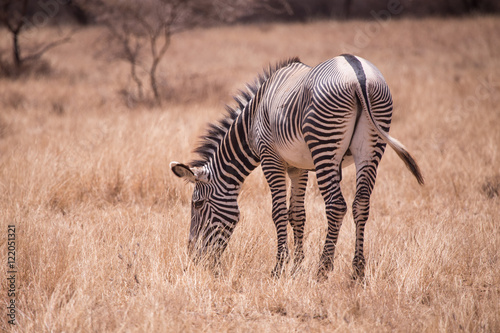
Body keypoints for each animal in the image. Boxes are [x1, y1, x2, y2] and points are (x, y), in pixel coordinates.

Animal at [170, 55, 424, 280]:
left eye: (198, 204)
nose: (194, 259)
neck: (252, 120)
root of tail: (357, 72)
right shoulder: (298, 167)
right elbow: (297, 214)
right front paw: (296, 268)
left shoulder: (271, 159)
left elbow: (279, 212)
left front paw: (279, 268)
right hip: (371, 146)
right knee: (360, 204)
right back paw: (357, 272)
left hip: (325, 143)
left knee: (336, 205)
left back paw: (323, 270)